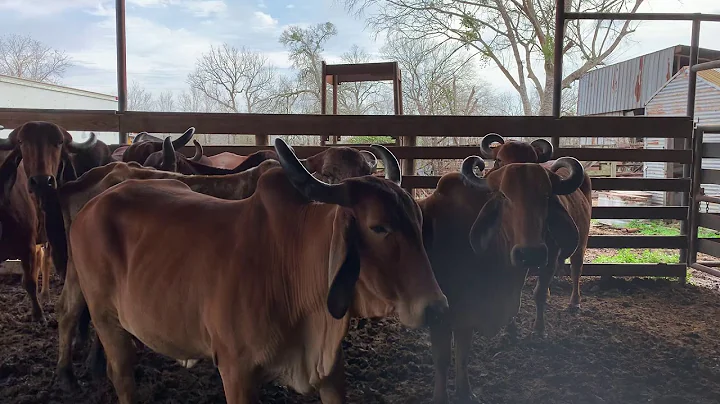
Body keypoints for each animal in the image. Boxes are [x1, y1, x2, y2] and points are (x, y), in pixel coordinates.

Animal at [66, 138, 447, 404]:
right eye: (378, 227)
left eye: (417, 221)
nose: (437, 308)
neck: (292, 264)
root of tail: (93, 205)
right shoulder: (237, 373)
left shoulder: (329, 369)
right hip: (105, 319)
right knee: (119, 373)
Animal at [418, 138, 590, 403]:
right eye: (504, 195)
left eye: (546, 195)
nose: (530, 253)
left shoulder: (548, 259)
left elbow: (536, 295)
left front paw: (538, 330)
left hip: (581, 244)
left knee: (576, 270)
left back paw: (574, 302)